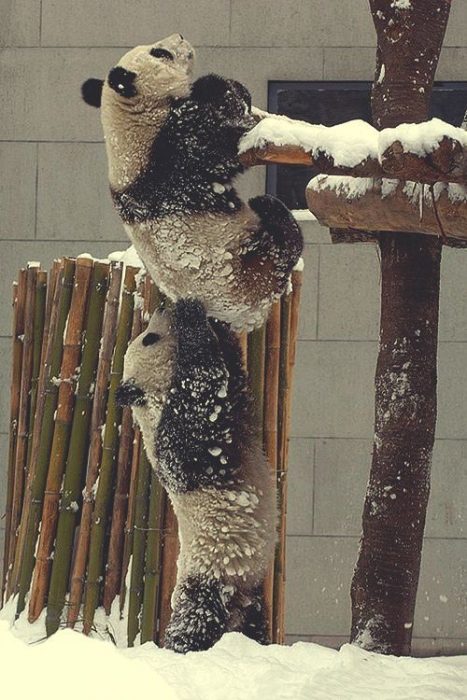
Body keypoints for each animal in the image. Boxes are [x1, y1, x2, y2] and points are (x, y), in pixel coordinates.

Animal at [82, 34, 304, 334]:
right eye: (160, 53)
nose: (180, 37)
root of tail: (245, 319)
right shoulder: (174, 155)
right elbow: (222, 135)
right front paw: (214, 85)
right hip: (252, 265)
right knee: (283, 243)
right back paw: (272, 210)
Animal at [117, 300, 278, 652]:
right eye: (149, 338)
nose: (162, 307)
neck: (151, 399)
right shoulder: (175, 442)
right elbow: (202, 396)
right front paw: (191, 315)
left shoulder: (235, 404)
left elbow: (233, 375)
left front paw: (217, 325)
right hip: (208, 574)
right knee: (196, 619)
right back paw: (181, 647)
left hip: (250, 588)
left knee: (254, 623)